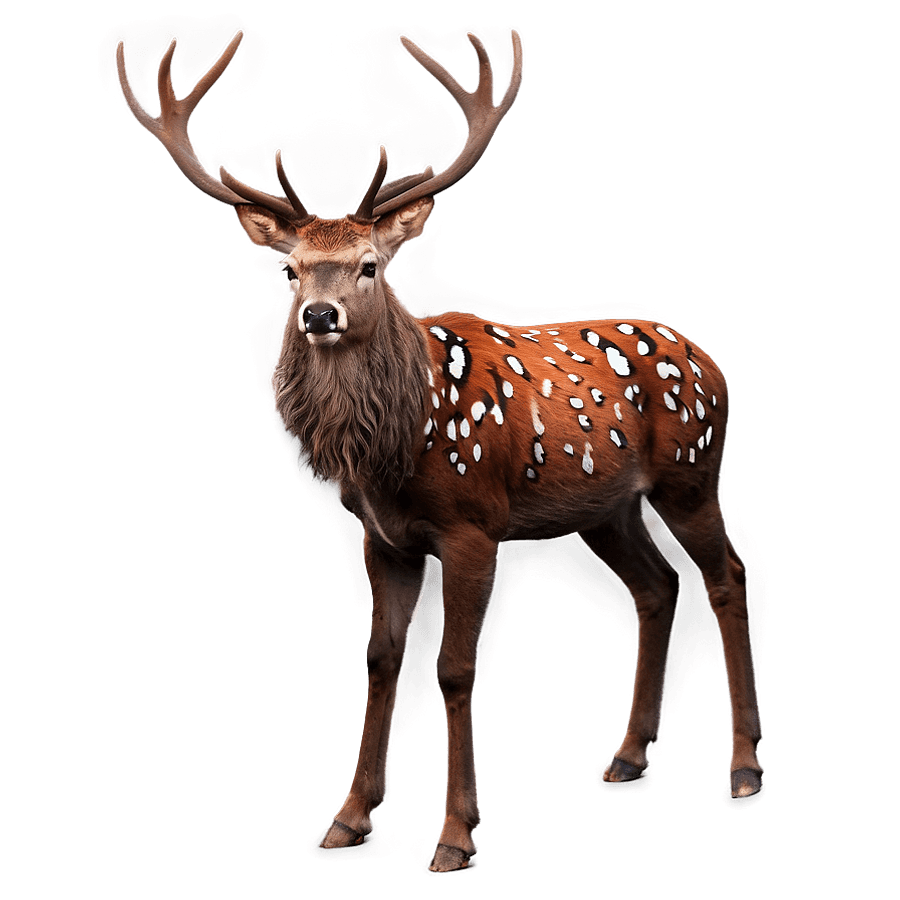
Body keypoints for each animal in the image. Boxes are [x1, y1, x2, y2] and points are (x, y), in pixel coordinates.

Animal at [113, 27, 764, 874]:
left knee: (729, 577)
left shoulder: (473, 526)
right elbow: (380, 658)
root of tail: (710, 360)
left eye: (369, 264)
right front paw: (348, 820)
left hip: (693, 476)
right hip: (605, 510)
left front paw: (456, 836)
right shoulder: (384, 539)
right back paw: (626, 758)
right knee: (656, 587)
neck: (396, 449)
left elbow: (455, 670)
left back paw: (744, 769)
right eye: (288, 270)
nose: (319, 314)